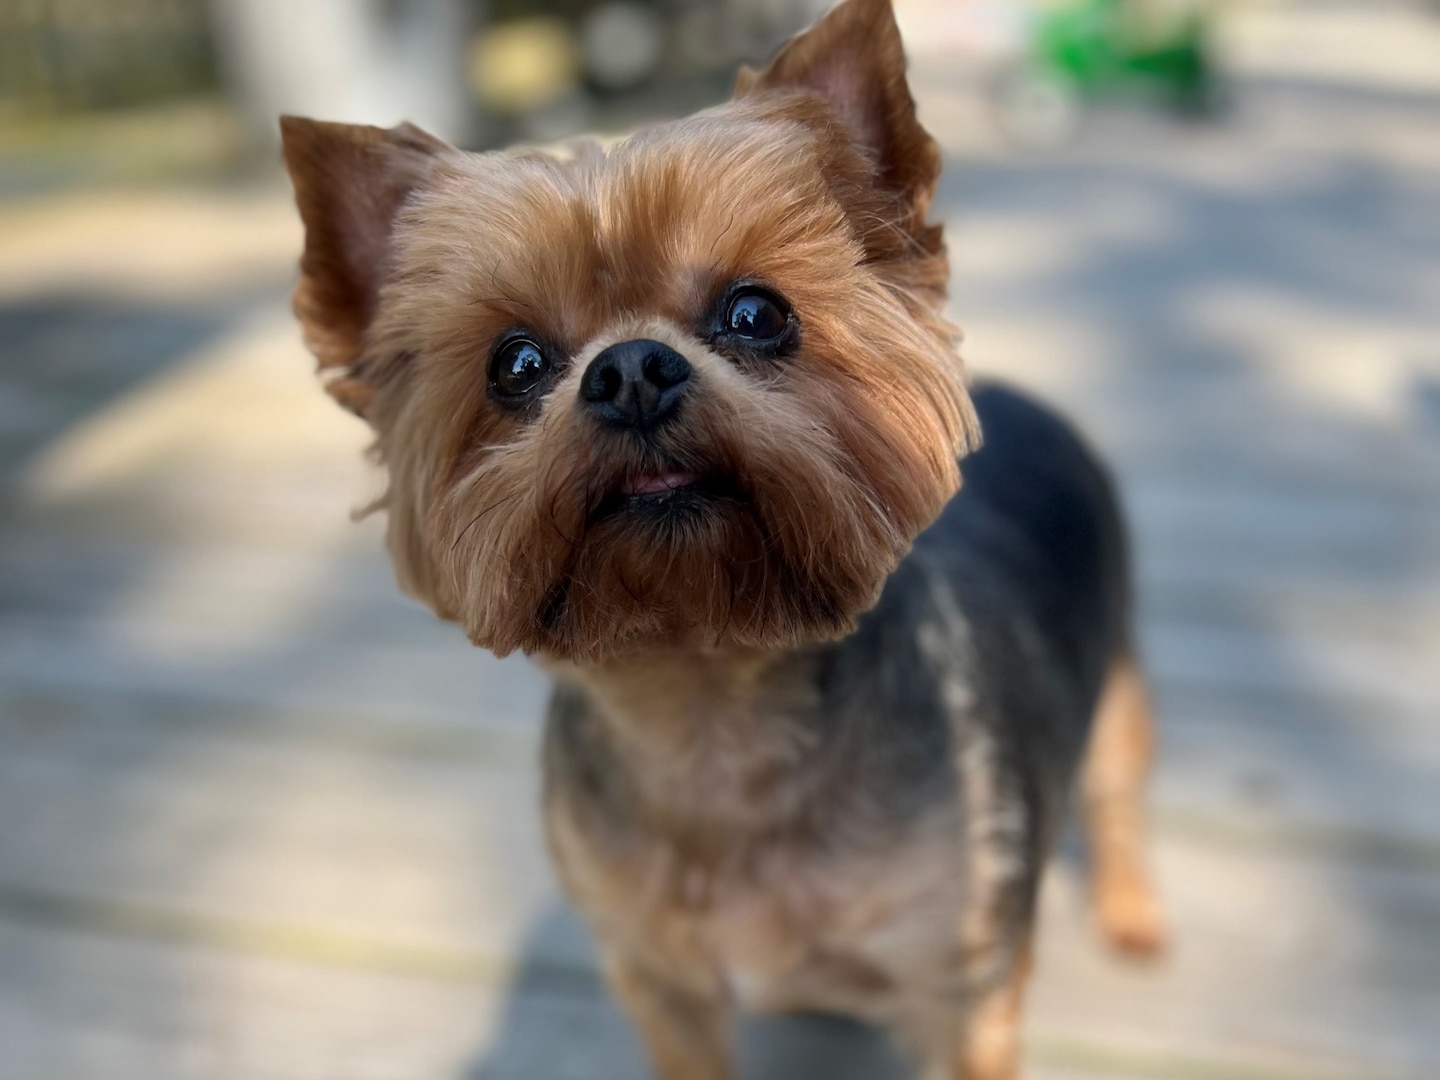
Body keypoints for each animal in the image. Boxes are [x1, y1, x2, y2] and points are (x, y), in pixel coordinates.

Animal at [283, 0, 1169, 1077]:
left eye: (756, 312)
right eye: (516, 363)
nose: (629, 370)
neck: (707, 707)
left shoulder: (959, 990)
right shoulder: (658, 979)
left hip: (1118, 669)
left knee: (1117, 790)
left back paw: (1131, 912)